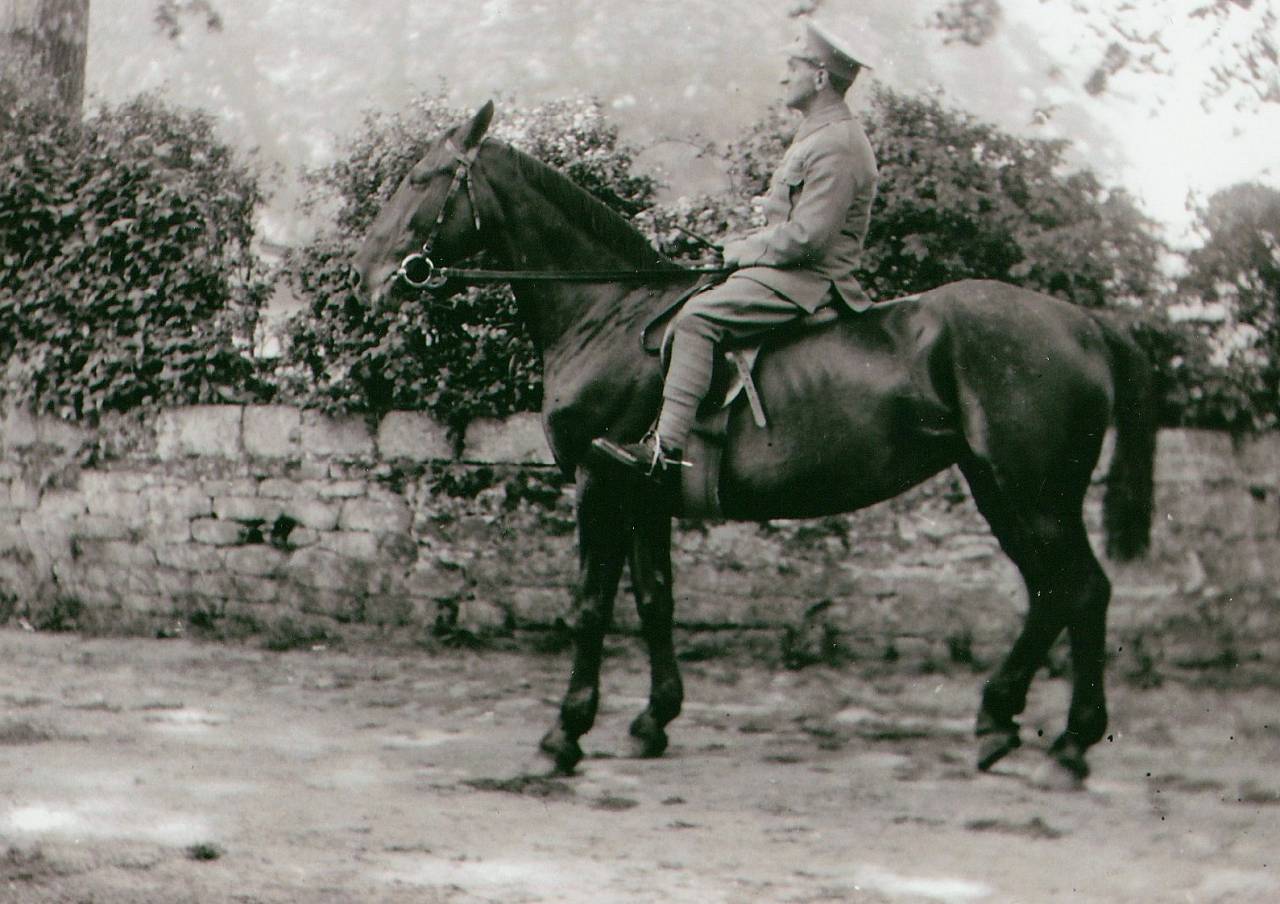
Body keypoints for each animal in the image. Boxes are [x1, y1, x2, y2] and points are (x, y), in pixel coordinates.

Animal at [353, 101, 1157, 785]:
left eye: (421, 178)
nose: (365, 277)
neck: (608, 312)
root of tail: (1084, 322)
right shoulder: (645, 493)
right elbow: (655, 599)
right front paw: (653, 721)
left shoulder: (599, 485)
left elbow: (589, 606)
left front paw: (564, 734)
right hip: (999, 487)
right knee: (1053, 592)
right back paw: (1000, 724)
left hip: (1033, 491)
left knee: (1081, 589)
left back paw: (1071, 745)